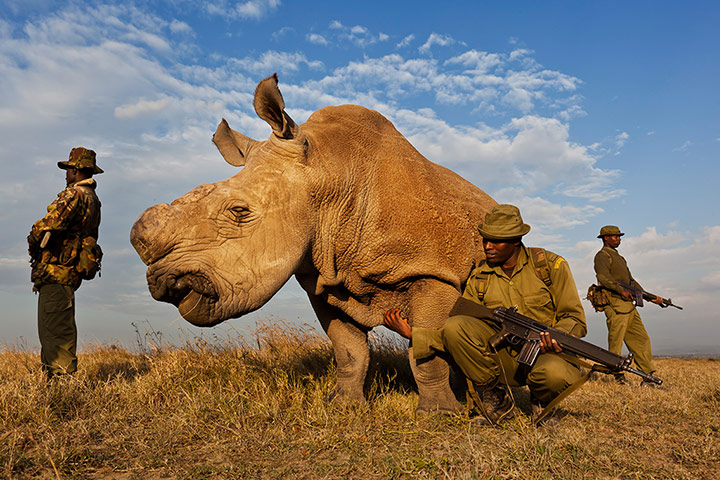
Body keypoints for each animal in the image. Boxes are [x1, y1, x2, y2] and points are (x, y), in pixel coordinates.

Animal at [130, 74, 496, 413]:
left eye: (239, 211)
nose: (163, 282)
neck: (329, 174)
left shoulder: (434, 272)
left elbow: (426, 351)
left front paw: (440, 413)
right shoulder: (324, 280)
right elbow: (348, 350)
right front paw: (345, 406)